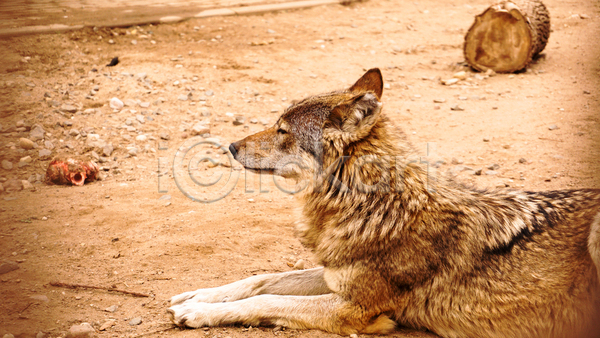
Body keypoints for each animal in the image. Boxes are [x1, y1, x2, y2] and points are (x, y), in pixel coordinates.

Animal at [169, 69, 600, 338]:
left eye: (283, 131)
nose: (230, 146)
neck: (372, 205)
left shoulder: (356, 310)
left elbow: (268, 298)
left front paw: (198, 313)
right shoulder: (335, 275)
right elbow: (260, 280)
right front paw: (197, 296)